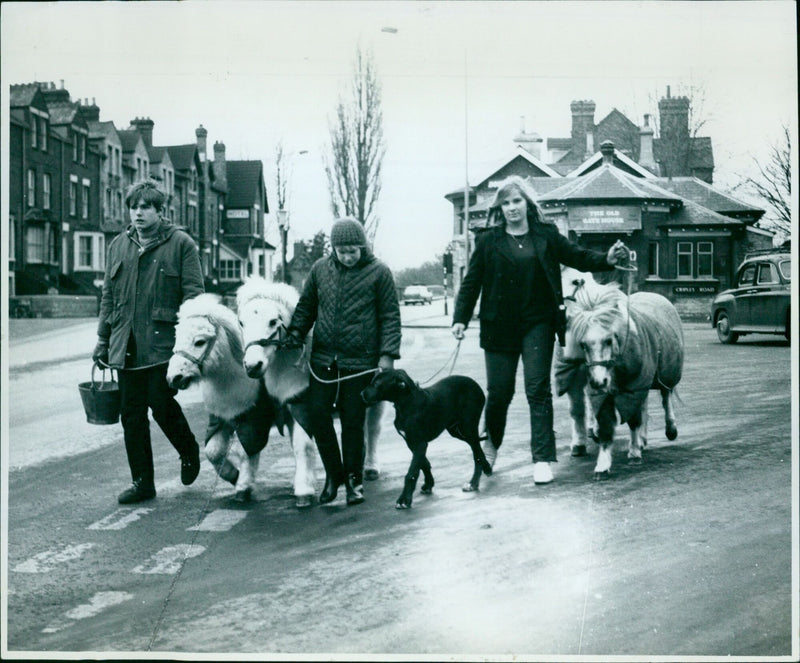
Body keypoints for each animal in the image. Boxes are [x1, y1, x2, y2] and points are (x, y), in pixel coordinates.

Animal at [165, 294, 316, 506]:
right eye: (177, 336)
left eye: (200, 342)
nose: (173, 377)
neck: (232, 379)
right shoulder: (222, 419)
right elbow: (213, 452)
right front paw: (233, 476)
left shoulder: (253, 420)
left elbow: (248, 450)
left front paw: (243, 485)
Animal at [236, 280, 386, 482]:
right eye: (241, 323)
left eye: (273, 321)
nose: (252, 366)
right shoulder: (290, 406)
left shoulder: (303, 405)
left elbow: (303, 445)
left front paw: (304, 486)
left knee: (373, 428)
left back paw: (371, 467)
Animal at [360, 368, 488, 508]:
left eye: (376, 384)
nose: (361, 394)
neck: (406, 403)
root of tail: (475, 384)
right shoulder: (411, 442)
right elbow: (423, 464)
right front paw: (428, 484)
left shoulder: (420, 444)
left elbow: (412, 472)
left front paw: (404, 500)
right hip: (456, 430)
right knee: (478, 451)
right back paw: (485, 470)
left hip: (468, 428)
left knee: (477, 454)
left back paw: (474, 483)